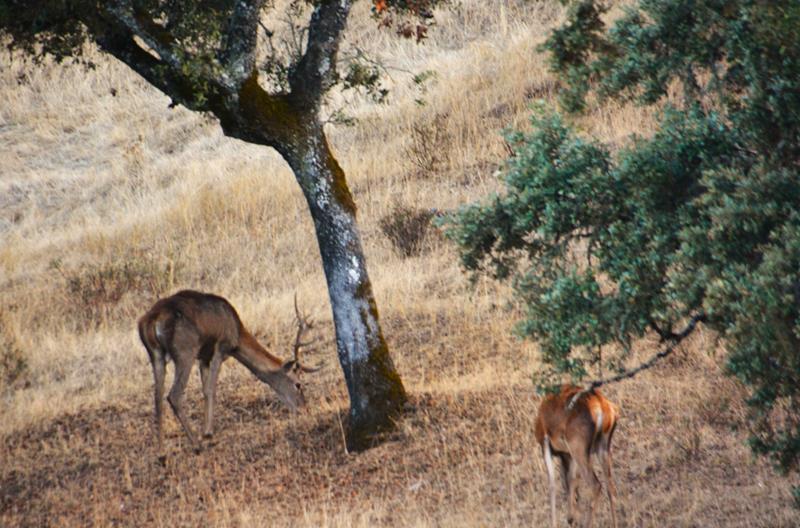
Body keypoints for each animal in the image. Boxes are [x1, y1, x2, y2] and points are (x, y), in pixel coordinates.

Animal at [138, 288, 322, 458]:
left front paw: (208, 433)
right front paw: (208, 434)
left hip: (155, 355)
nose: (304, 408)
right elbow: (211, 389)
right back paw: (196, 445)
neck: (237, 335)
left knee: (157, 397)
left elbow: (205, 390)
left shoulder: (204, 357)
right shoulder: (221, 346)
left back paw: (162, 454)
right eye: (298, 384)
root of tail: (151, 320)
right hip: (185, 352)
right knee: (173, 395)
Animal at [536, 386, 620, 528]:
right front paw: (572, 517)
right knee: (611, 487)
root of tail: (603, 407)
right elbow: (571, 481)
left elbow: (553, 484)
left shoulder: (546, 444)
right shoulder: (567, 454)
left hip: (579, 449)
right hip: (601, 447)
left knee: (596, 485)